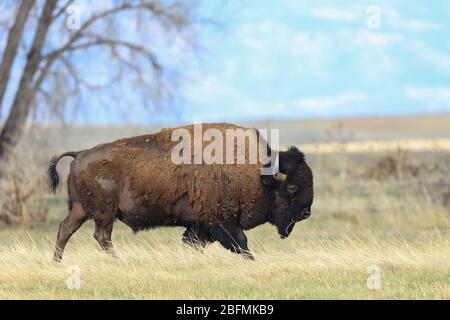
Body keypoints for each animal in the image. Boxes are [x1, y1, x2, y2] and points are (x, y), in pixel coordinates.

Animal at [48, 122, 312, 260]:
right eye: (292, 187)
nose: (306, 213)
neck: (258, 172)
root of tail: (80, 154)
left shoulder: (200, 226)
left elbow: (192, 242)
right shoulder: (221, 222)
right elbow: (241, 243)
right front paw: (252, 260)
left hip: (82, 209)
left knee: (66, 229)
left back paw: (57, 262)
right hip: (103, 213)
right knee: (101, 236)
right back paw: (116, 260)